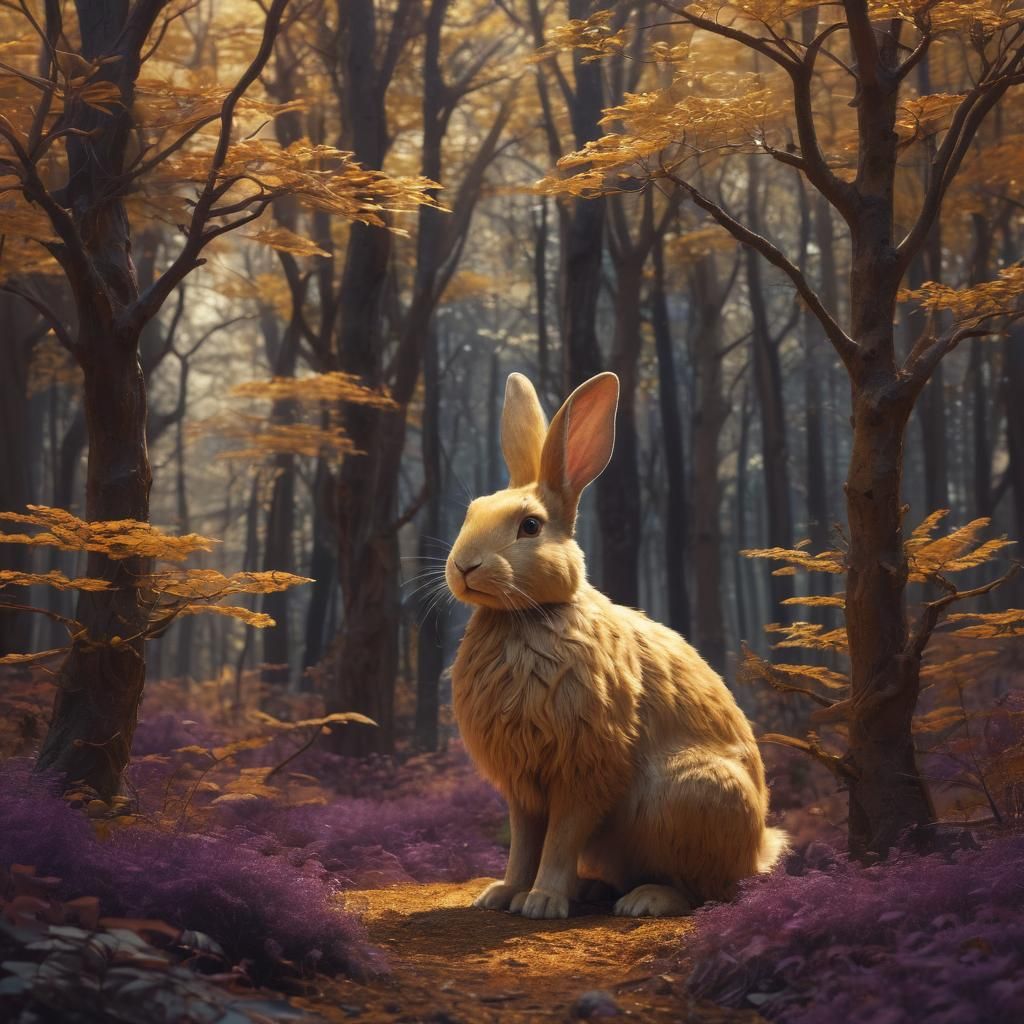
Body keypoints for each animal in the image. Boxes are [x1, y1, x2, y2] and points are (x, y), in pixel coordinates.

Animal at [445, 371, 787, 920]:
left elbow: (559, 838)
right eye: (471, 512)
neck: (529, 615)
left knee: (707, 890)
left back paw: (644, 900)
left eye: (530, 526)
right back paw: (591, 890)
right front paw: (501, 894)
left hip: (689, 796)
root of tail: (757, 850)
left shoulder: (585, 769)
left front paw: (541, 902)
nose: (464, 566)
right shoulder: (523, 787)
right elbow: (523, 841)